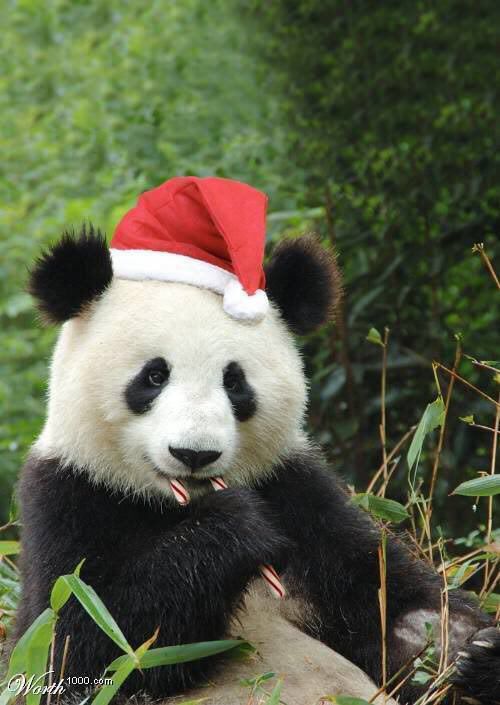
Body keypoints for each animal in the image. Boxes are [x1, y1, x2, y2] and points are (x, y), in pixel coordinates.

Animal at [13, 177, 500, 704]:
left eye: (235, 381)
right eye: (154, 375)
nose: (194, 454)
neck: (177, 506)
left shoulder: (301, 497)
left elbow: (402, 616)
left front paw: (473, 650)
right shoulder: (69, 497)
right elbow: (84, 644)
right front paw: (237, 530)